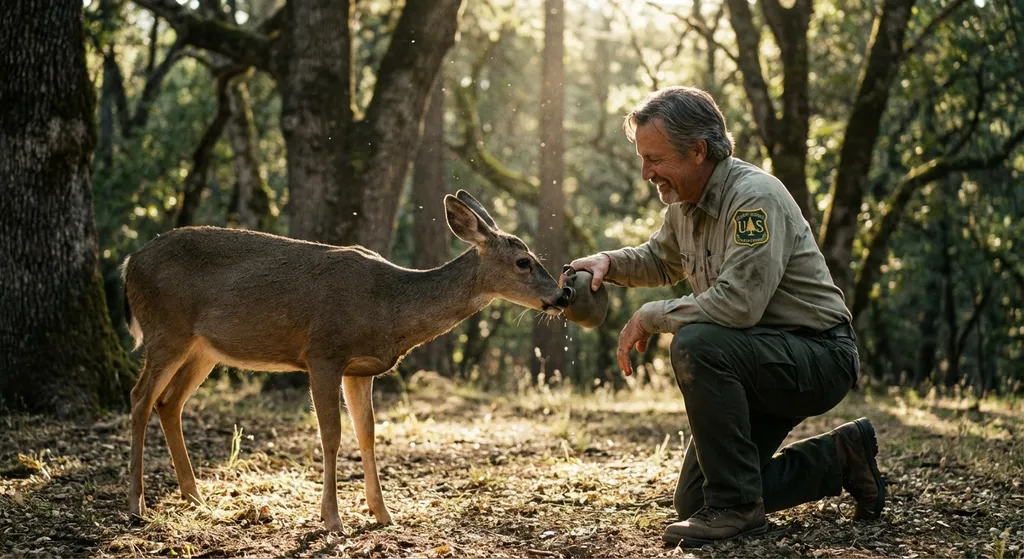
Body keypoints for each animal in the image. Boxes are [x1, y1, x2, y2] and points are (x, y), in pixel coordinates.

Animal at [121, 190, 571, 532]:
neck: (387, 309)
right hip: (166, 328)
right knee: (140, 397)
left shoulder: (360, 369)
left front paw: (383, 513)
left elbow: (367, 434)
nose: (563, 295)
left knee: (169, 403)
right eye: (523, 262)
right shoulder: (323, 353)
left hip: (203, 349)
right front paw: (332, 520)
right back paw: (136, 504)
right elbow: (332, 436)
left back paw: (195, 496)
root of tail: (129, 262)